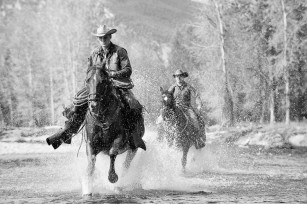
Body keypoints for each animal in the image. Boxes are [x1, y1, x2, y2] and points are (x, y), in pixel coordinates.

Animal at [83, 65, 146, 196]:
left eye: (102, 81)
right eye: (87, 81)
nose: (93, 105)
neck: (102, 117)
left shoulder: (120, 138)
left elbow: (112, 152)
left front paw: (113, 177)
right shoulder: (91, 143)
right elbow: (91, 161)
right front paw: (87, 186)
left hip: (133, 147)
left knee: (126, 164)